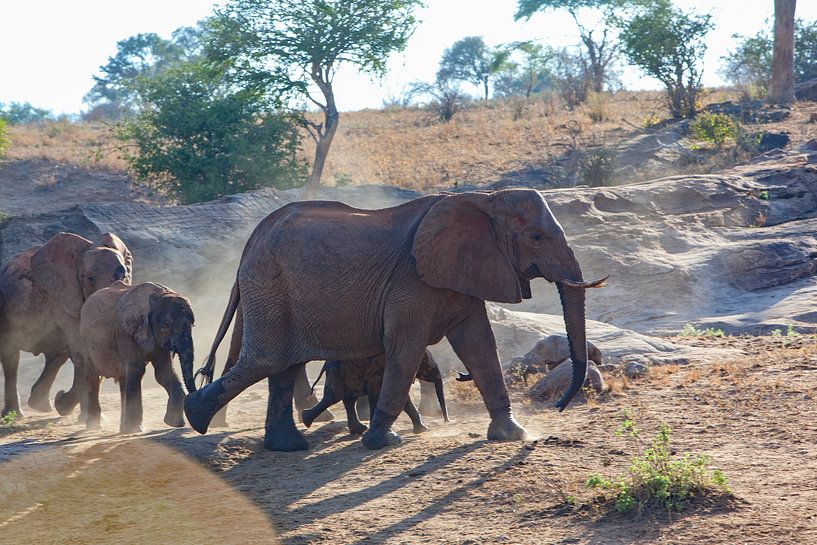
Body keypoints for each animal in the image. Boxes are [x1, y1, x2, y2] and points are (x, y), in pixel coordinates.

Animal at [0, 232, 133, 417]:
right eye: (89, 278)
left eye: (123, 276)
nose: (60, 394)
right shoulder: (64, 300)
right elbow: (83, 351)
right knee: (11, 357)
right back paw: (17, 413)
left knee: (57, 356)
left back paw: (42, 406)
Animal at [78, 281, 195, 432]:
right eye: (167, 325)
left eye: (192, 324)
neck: (157, 295)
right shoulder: (125, 333)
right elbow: (138, 370)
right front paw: (134, 429)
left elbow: (164, 373)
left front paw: (174, 423)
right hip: (85, 342)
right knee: (93, 378)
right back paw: (95, 426)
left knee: (124, 379)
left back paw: (122, 429)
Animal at [301, 349, 449, 435]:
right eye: (428, 365)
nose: (446, 421)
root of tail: (325, 364)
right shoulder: (379, 373)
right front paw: (423, 430)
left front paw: (422, 430)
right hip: (337, 373)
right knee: (334, 397)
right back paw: (306, 420)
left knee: (348, 399)